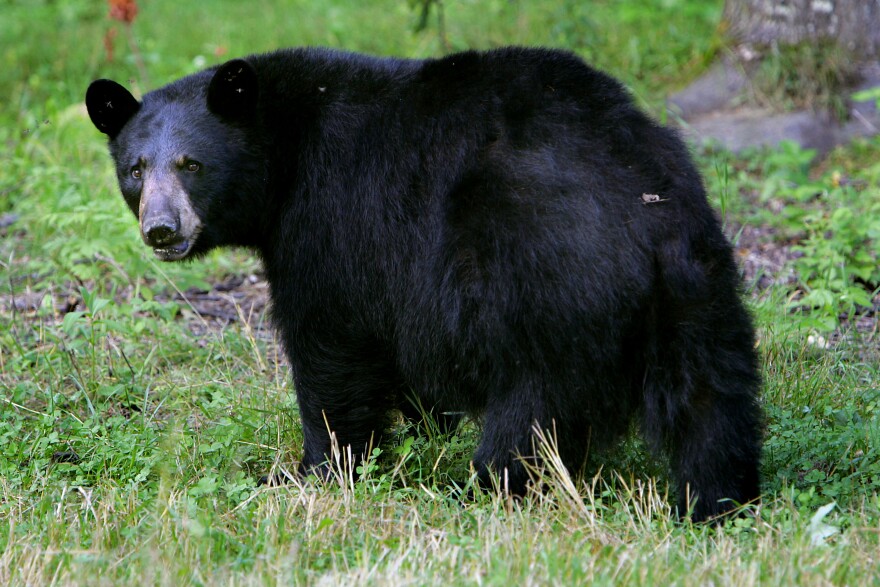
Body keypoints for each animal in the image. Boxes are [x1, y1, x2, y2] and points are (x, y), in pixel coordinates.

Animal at [86, 46, 762, 522]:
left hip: (545, 283)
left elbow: (330, 348)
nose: (162, 228)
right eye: (135, 169)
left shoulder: (332, 223)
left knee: (534, 411)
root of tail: (639, 207)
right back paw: (717, 501)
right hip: (697, 285)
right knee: (712, 398)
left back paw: (487, 489)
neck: (284, 153)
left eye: (192, 164)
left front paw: (315, 471)